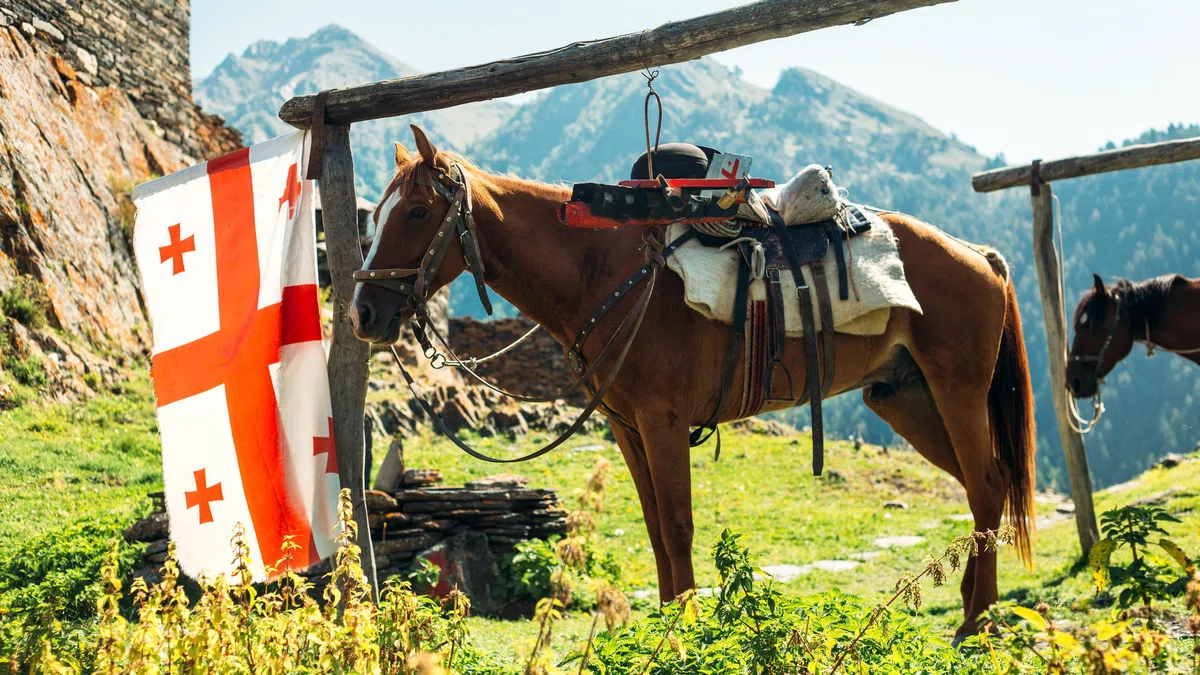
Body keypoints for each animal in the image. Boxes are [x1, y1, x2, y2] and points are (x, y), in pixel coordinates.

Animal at [349, 125, 1037, 641]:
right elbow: (657, 529)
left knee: (985, 485)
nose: (362, 314)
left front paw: (685, 630)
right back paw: (977, 607)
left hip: (956, 390)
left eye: (417, 211)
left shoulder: (664, 422)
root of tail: (978, 254)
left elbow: (678, 526)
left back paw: (977, 621)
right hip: (907, 400)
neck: (604, 274)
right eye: (376, 216)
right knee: (986, 485)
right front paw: (664, 628)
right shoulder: (625, 426)